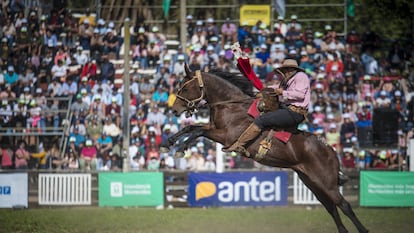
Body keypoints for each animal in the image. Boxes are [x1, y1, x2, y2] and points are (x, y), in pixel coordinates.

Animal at [165, 66, 368, 232]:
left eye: (184, 88)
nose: (174, 110)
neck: (232, 107)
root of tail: (330, 150)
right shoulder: (214, 128)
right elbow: (191, 128)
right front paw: (169, 142)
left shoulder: (225, 136)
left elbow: (198, 131)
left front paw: (181, 147)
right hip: (313, 183)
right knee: (331, 207)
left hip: (327, 184)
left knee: (344, 206)